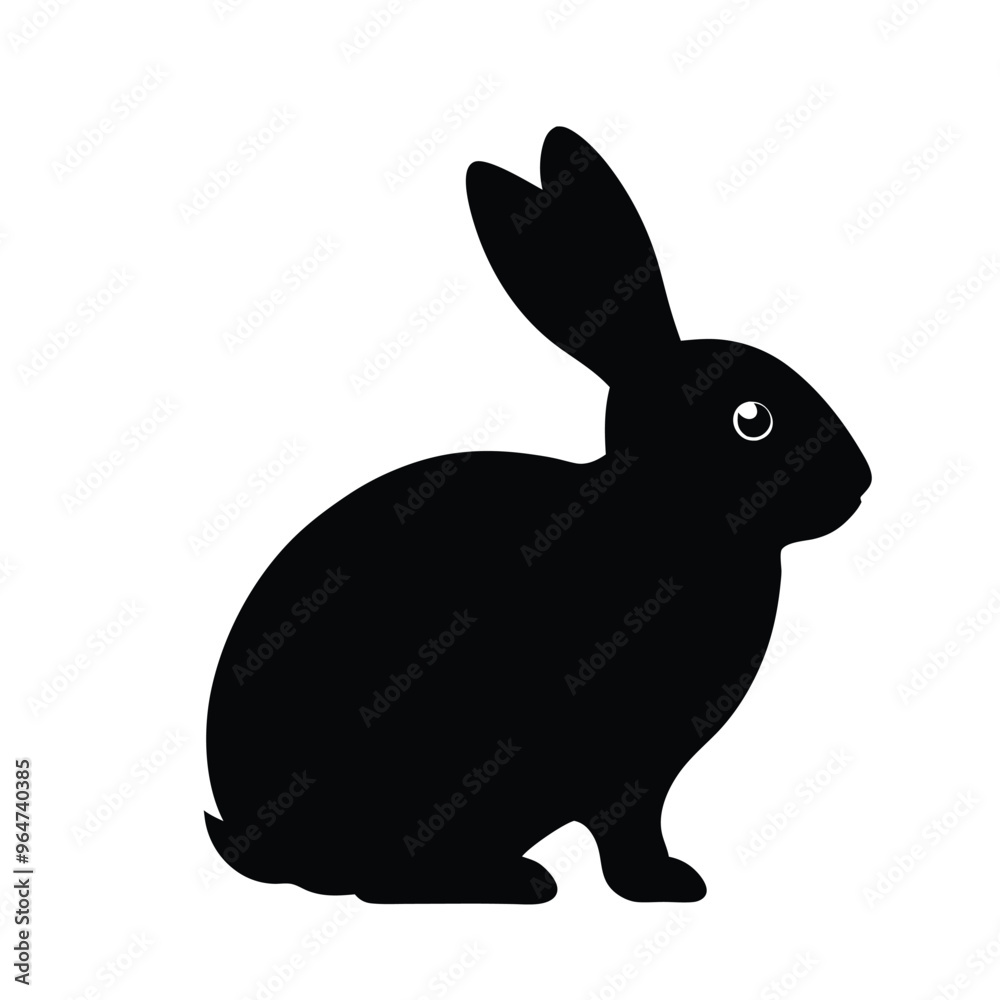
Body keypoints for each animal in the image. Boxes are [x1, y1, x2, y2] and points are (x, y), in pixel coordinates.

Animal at [204, 126, 872, 904]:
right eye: (753, 419)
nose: (861, 483)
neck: (667, 510)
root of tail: (250, 837)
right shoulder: (622, 767)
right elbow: (626, 829)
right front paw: (665, 886)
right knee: (379, 880)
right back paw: (515, 882)